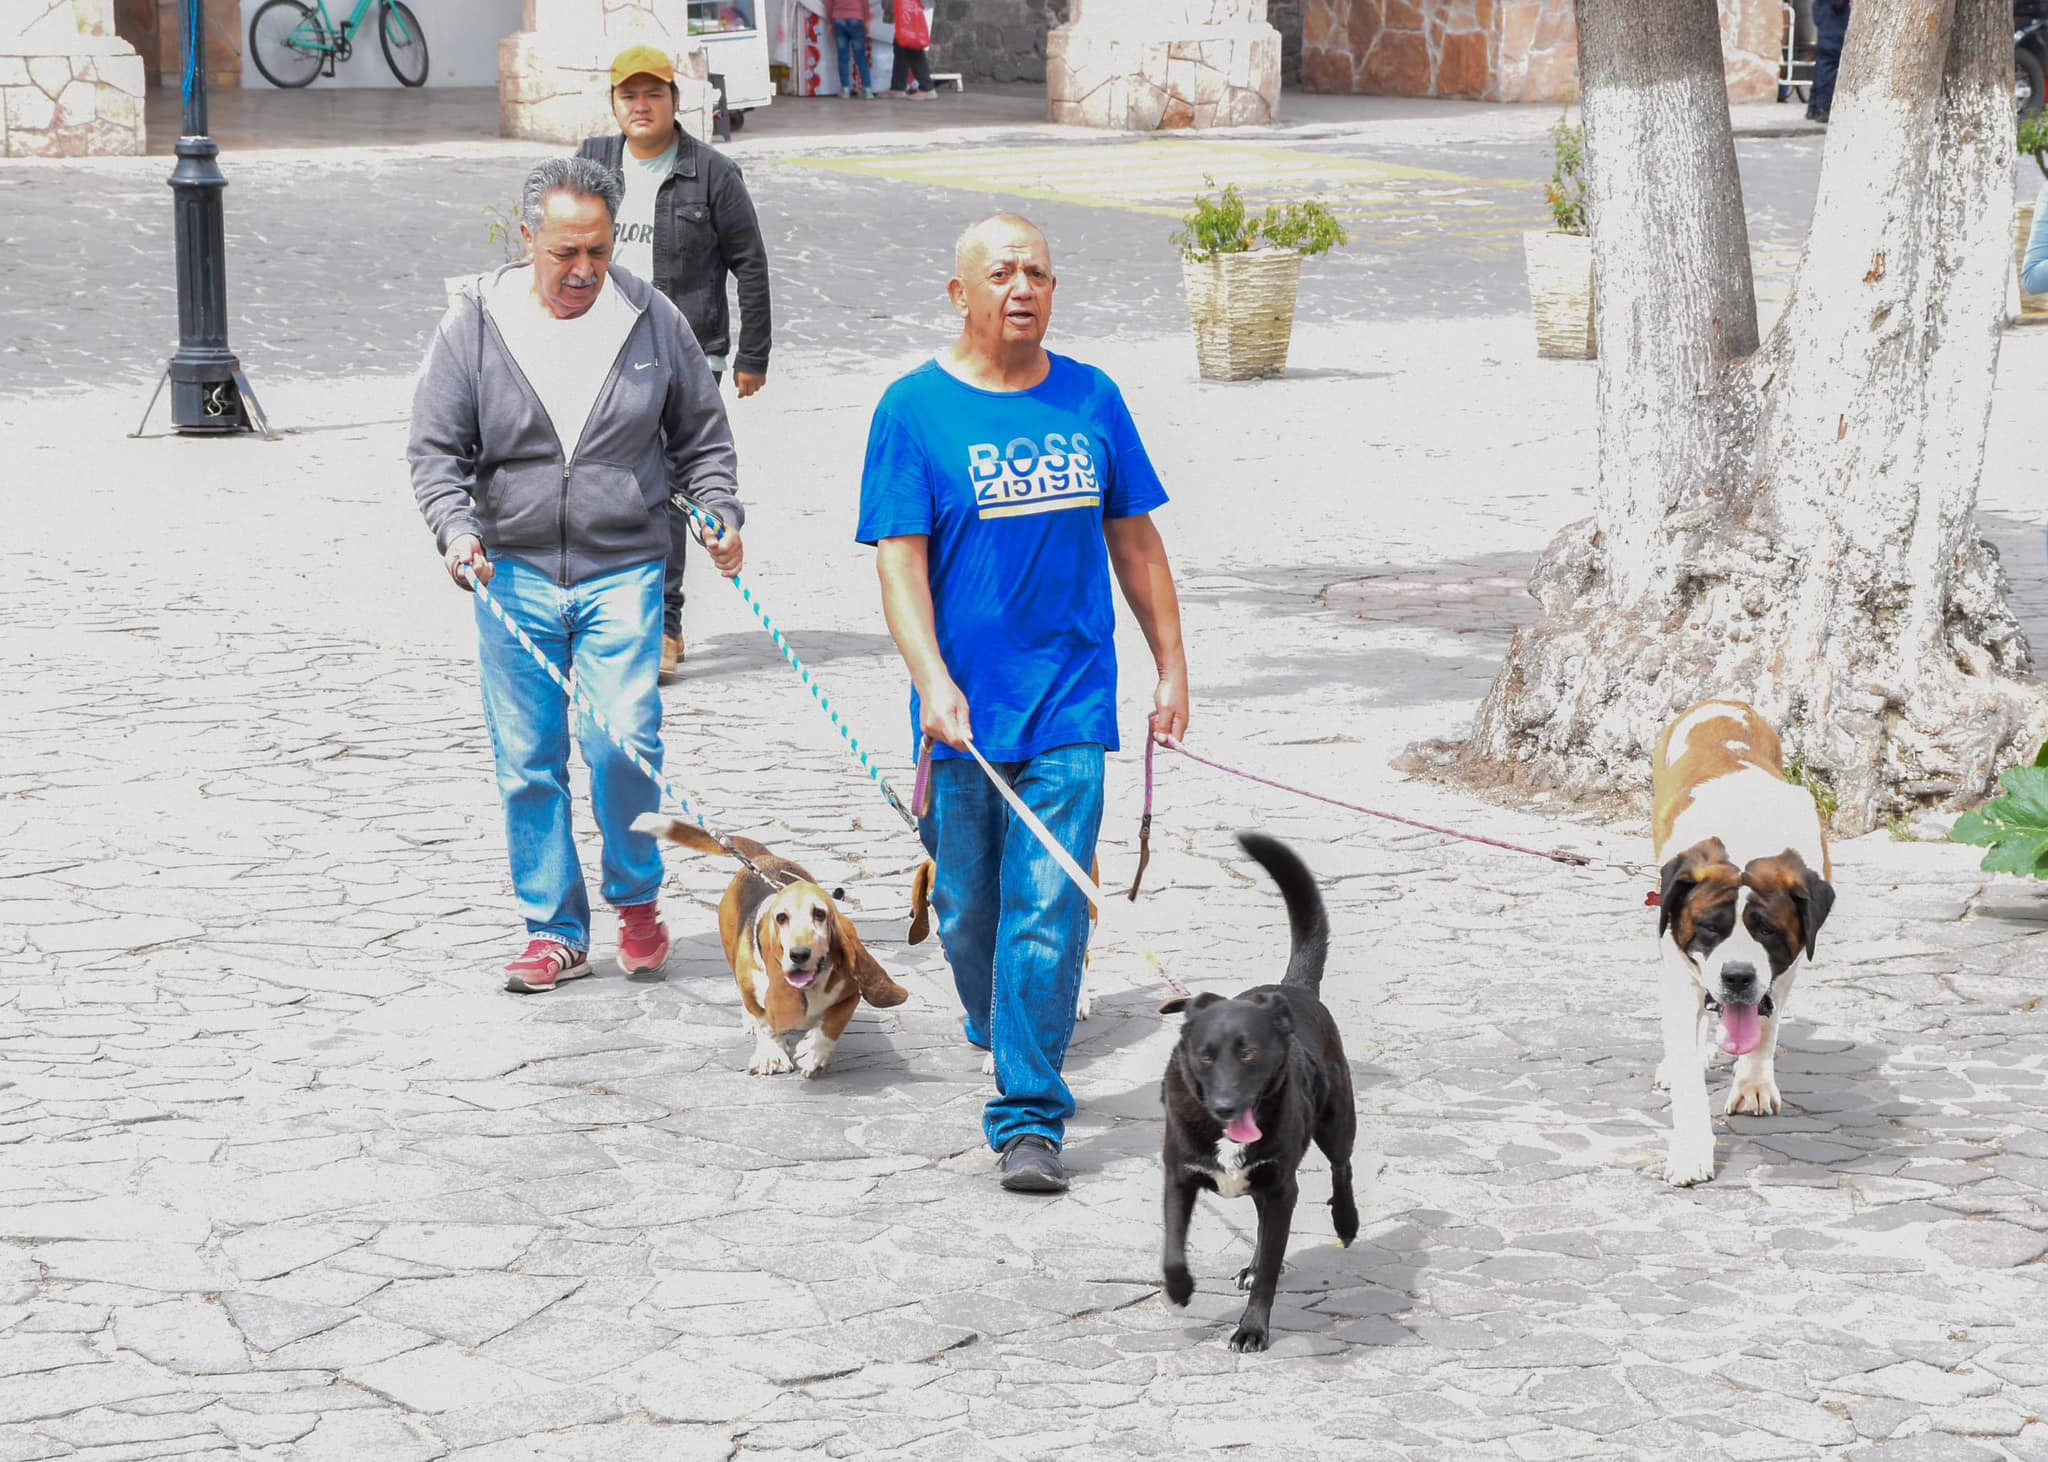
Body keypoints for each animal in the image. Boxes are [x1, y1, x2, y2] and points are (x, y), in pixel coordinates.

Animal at [1163, 827, 1351, 1351]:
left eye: (1250, 1055)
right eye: (1205, 1056)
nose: (1227, 1107)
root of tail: (1293, 988)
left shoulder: (1282, 1188)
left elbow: (1269, 1269)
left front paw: (1251, 1328)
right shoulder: (1179, 1177)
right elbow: (1173, 1244)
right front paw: (1179, 1287)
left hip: (1336, 1122)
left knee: (1342, 1168)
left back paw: (1347, 1223)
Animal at [1646, 696, 1843, 1187]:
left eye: (1767, 930)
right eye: (1708, 927)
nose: (1737, 976)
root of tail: (1721, 701)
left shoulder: (1786, 970)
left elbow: (1766, 1027)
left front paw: (1752, 1083)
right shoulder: (1681, 970)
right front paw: (1692, 1149)